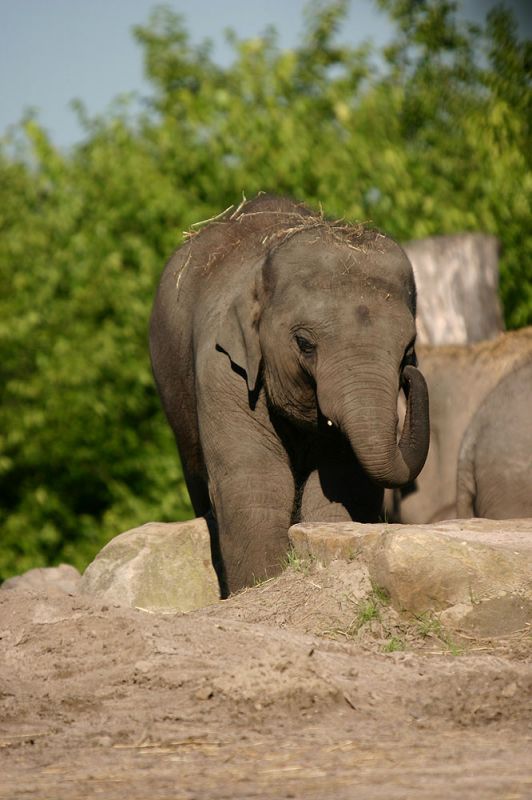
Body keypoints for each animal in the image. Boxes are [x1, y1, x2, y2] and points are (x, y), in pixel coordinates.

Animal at [148, 194, 430, 592]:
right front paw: (260, 586)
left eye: (408, 351)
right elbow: (256, 482)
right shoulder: (224, 371)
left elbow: (341, 484)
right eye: (304, 344)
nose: (410, 374)